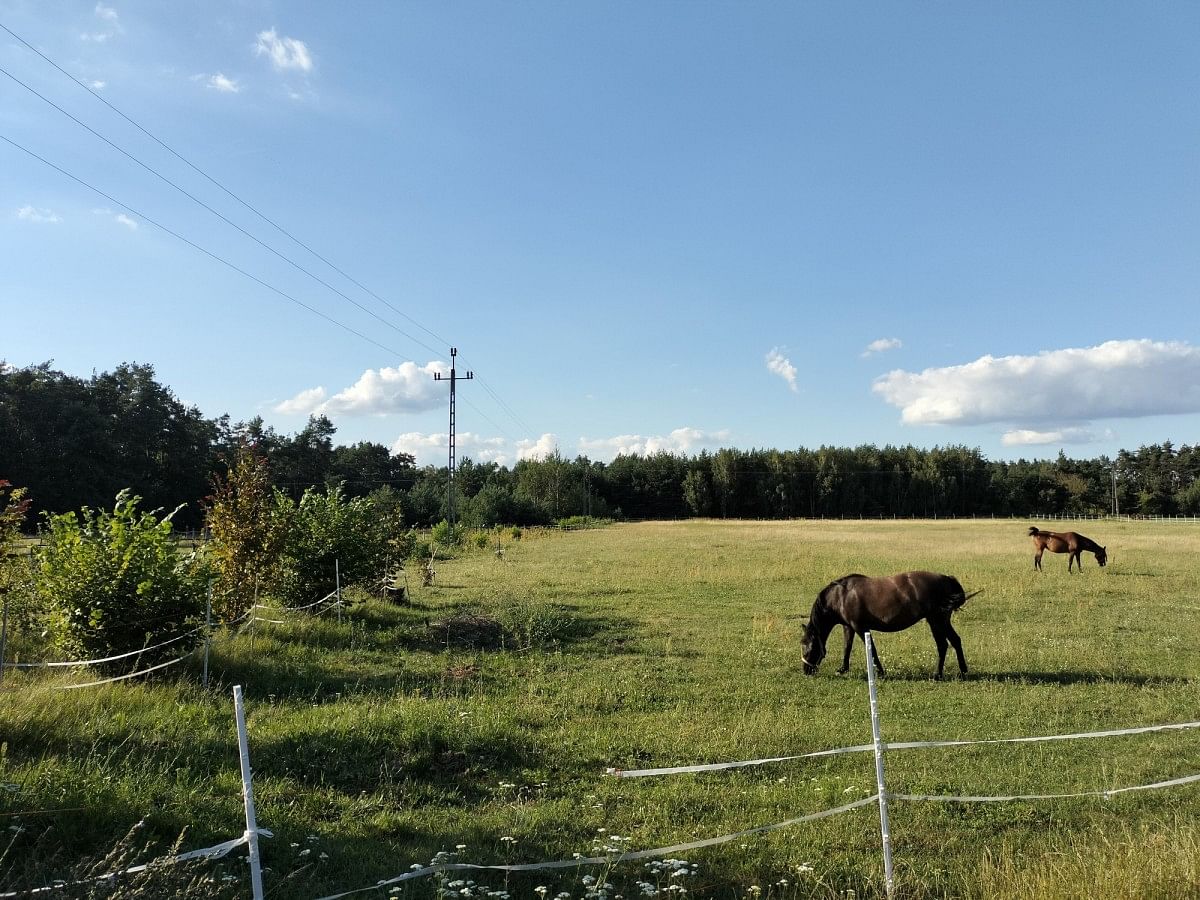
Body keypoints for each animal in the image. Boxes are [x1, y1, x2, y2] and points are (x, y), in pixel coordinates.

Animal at [801, 573, 979, 681]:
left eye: (809, 648)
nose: (806, 671)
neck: (841, 596)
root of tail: (947, 579)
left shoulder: (860, 627)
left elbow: (872, 650)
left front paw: (880, 673)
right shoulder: (849, 627)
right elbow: (847, 648)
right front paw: (843, 669)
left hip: (936, 621)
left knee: (943, 645)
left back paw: (937, 675)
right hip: (941, 621)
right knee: (955, 641)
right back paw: (963, 671)